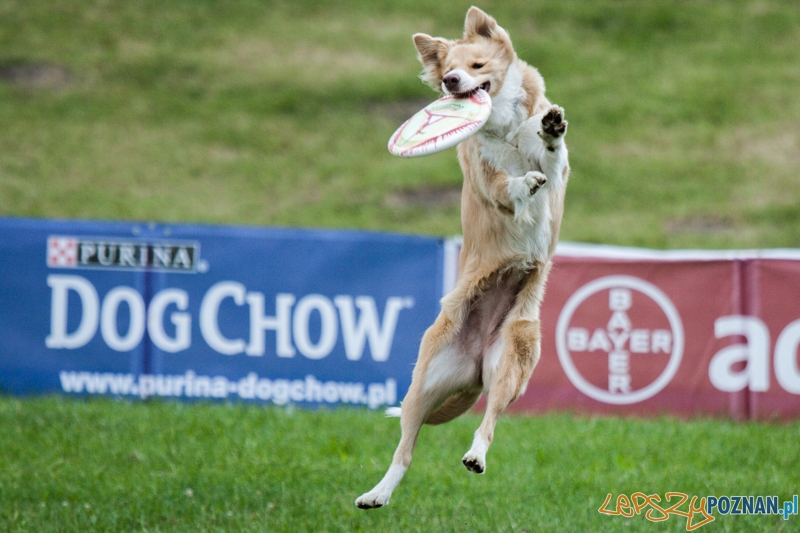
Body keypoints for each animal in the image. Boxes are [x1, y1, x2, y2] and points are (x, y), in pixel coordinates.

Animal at [356, 7, 568, 508]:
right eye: (447, 69)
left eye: (476, 65)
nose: (452, 82)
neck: (505, 126)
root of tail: (473, 365)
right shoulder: (488, 176)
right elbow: (509, 185)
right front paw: (522, 183)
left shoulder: (557, 178)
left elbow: (549, 159)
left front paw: (550, 130)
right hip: (423, 383)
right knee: (404, 450)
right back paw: (377, 494)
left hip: (511, 361)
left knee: (489, 422)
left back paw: (475, 455)